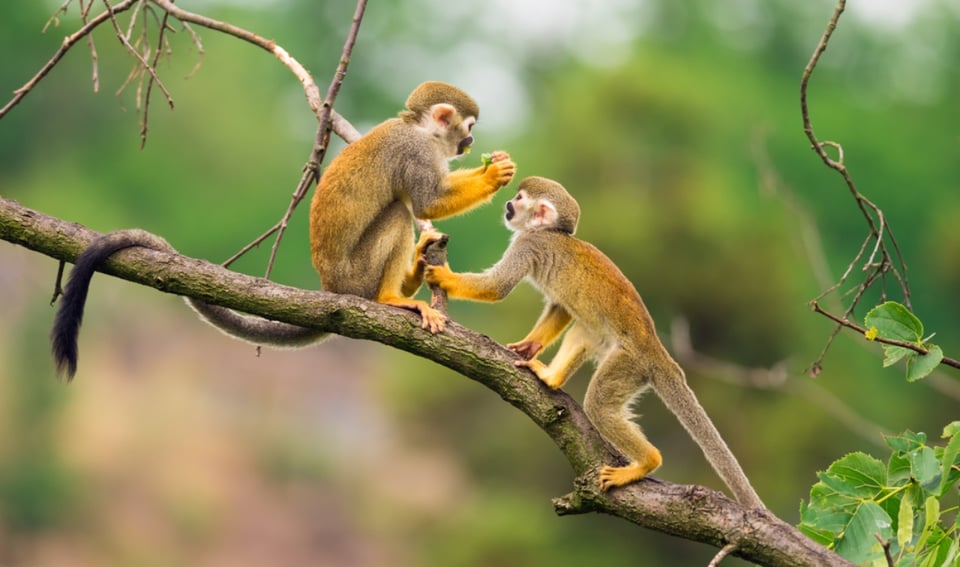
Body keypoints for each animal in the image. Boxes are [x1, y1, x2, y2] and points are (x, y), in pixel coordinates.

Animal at [50, 81, 515, 379]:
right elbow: (425, 202)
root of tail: (331, 289)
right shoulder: (415, 153)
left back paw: (416, 271)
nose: (471, 144)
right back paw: (391, 298)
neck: (421, 131)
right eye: (468, 128)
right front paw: (494, 176)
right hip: (356, 276)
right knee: (399, 213)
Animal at [423, 176, 764, 508]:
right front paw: (529, 346)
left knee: (599, 404)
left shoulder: (528, 244)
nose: (508, 204)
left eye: (519, 199)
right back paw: (551, 378)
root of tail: (658, 353)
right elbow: (560, 307)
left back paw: (647, 462)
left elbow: (498, 287)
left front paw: (443, 277)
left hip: (629, 364)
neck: (548, 232)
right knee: (583, 330)